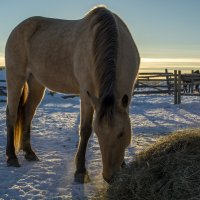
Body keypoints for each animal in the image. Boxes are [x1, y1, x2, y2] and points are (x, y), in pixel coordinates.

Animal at [4, 5, 139, 184]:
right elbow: (85, 130)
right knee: (11, 114)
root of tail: (18, 28)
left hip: (36, 84)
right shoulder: (86, 95)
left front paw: (123, 165)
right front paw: (80, 171)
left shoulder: (127, 93)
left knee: (27, 113)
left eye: (121, 133)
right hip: (16, 78)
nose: (109, 177)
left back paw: (29, 153)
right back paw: (12, 157)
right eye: (98, 134)